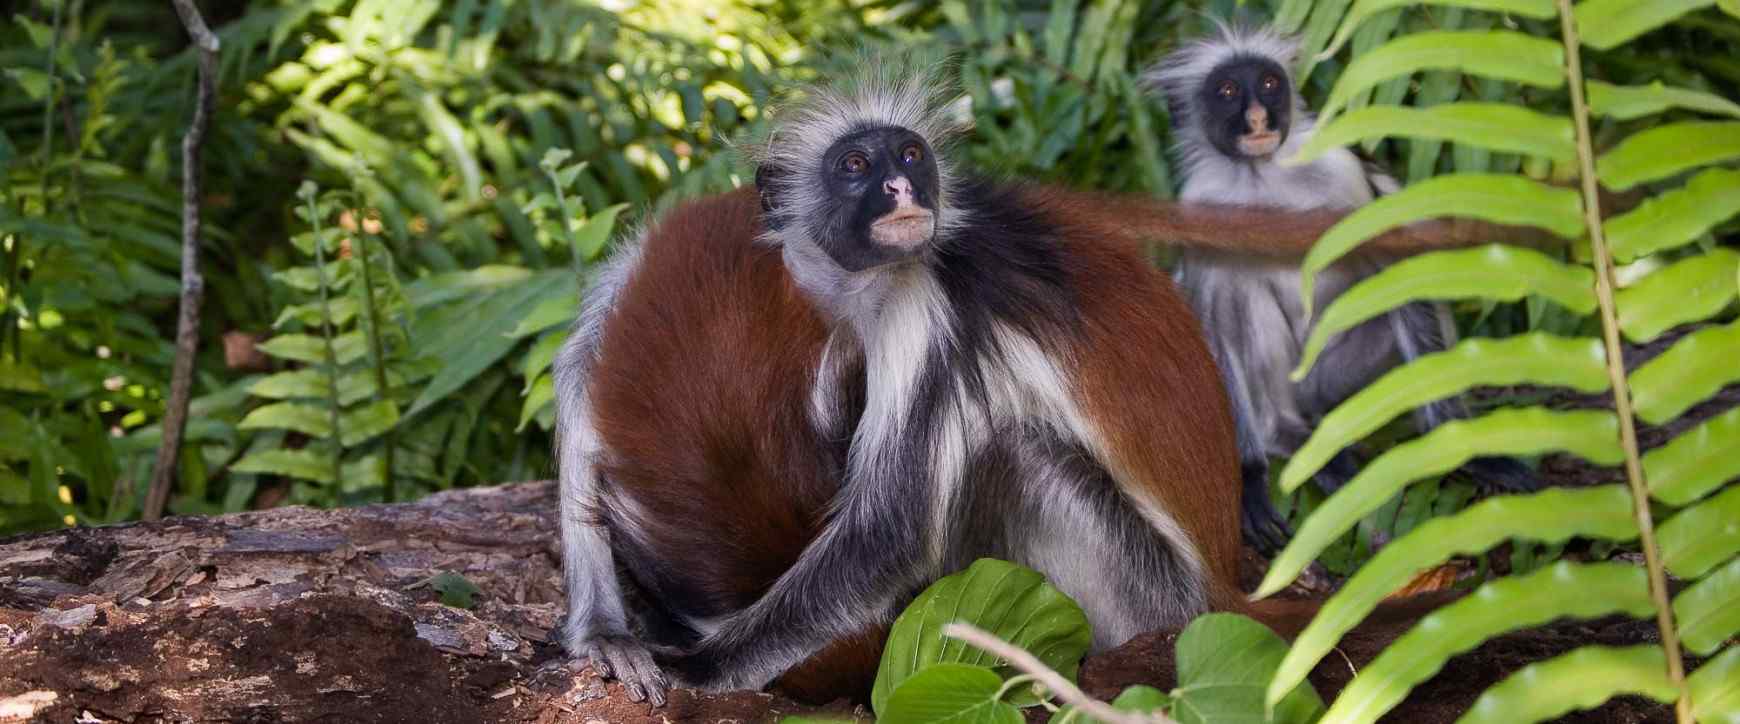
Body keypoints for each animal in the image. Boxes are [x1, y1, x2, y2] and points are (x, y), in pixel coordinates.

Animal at [1147, 23, 1539, 553]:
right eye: (1227, 91)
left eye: (1269, 83)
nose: (1257, 117)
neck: (1261, 179)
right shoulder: (1199, 208)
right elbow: (1209, 320)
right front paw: (1247, 478)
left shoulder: (1341, 177)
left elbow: (1397, 274)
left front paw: (1464, 450)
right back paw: (1288, 435)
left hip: (1330, 380)